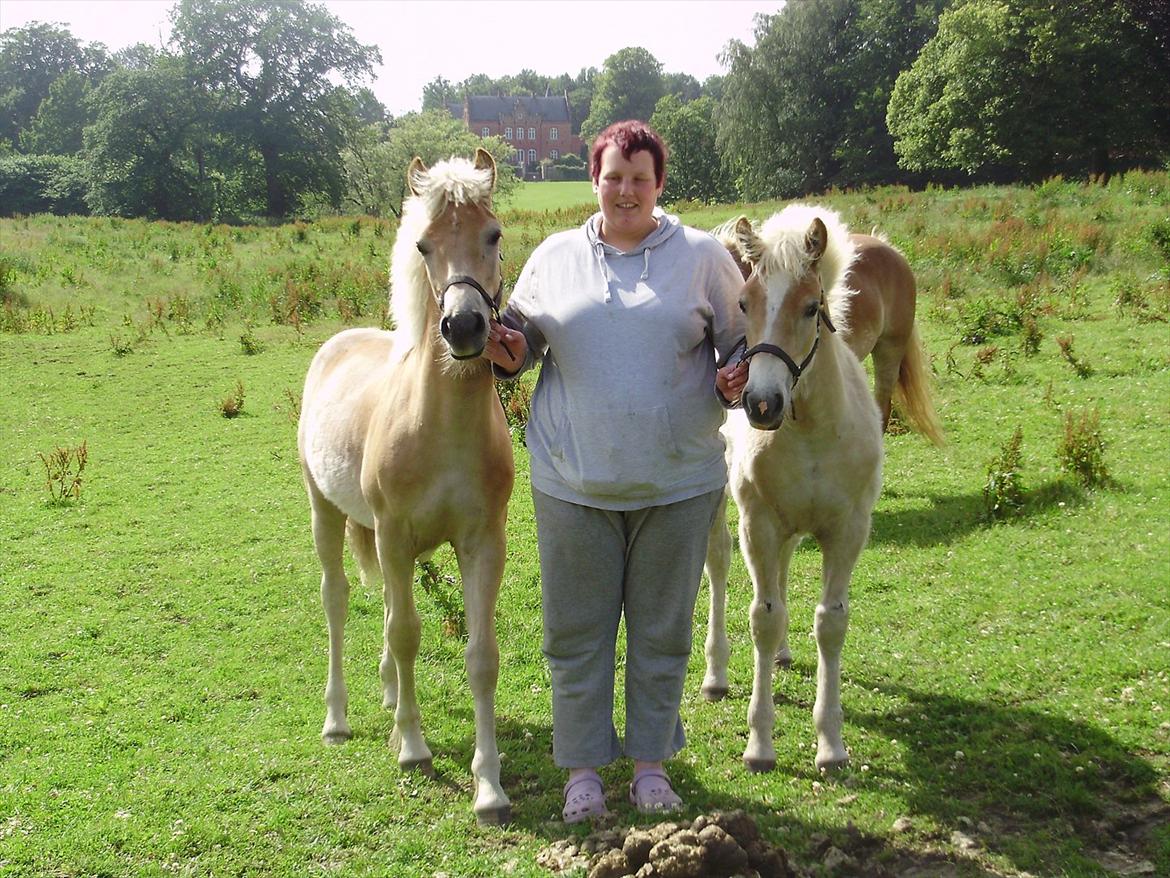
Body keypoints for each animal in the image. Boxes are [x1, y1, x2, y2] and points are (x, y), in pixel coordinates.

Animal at [297, 149, 512, 824]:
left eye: (493, 234)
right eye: (423, 244)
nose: (464, 326)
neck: (439, 426)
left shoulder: (481, 542)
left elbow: (480, 655)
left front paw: (489, 786)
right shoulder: (392, 535)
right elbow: (406, 632)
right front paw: (414, 749)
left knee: (391, 607)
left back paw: (391, 697)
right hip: (326, 515)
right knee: (338, 601)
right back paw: (338, 719)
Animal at [697, 209, 879, 772]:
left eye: (811, 308)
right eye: (744, 303)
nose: (760, 403)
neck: (812, 431)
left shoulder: (848, 530)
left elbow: (831, 624)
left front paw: (832, 745)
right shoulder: (758, 523)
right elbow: (763, 617)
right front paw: (760, 743)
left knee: (782, 568)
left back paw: (779, 657)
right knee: (718, 563)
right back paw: (716, 674)